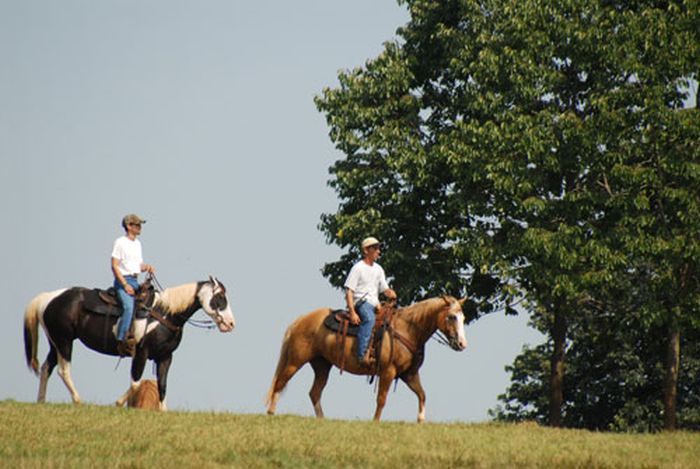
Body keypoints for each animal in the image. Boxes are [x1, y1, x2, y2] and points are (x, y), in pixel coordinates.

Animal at [23, 276, 235, 408]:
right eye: (219, 297)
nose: (231, 323)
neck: (164, 314)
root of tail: (47, 298)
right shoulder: (141, 352)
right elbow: (135, 382)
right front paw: (118, 403)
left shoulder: (165, 357)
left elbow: (162, 385)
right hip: (64, 341)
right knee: (63, 370)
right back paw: (78, 400)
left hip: (55, 342)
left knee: (46, 368)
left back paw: (41, 401)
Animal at [266, 298, 468, 422]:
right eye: (452, 316)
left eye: (463, 317)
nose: (462, 344)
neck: (407, 329)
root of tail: (300, 320)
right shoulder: (388, 371)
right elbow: (382, 399)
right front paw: (376, 422)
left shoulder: (409, 374)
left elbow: (422, 394)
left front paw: (420, 420)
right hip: (295, 361)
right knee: (279, 383)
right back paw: (270, 413)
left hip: (322, 365)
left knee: (314, 392)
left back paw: (322, 419)